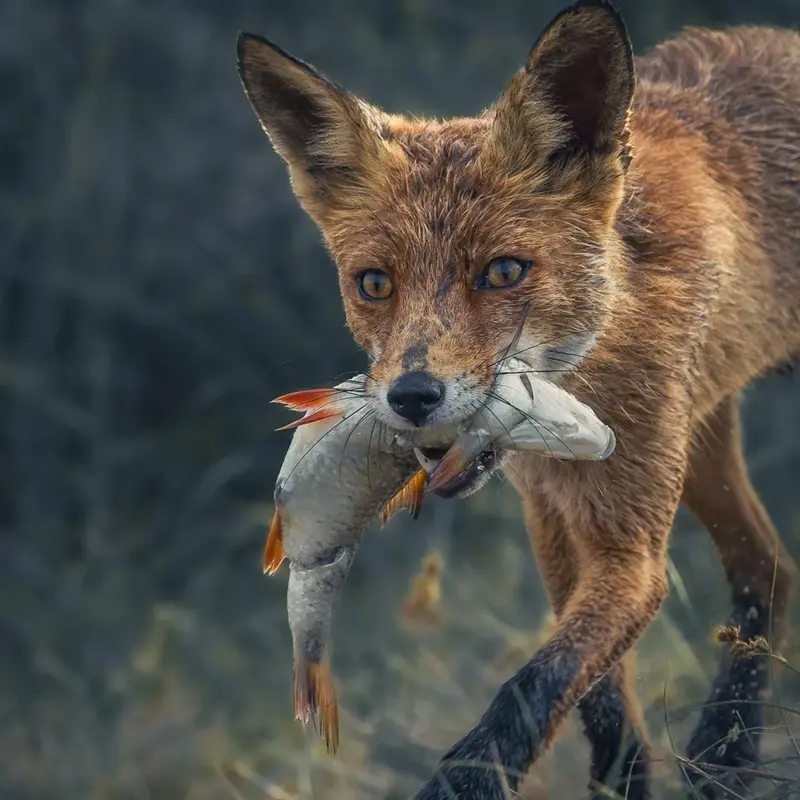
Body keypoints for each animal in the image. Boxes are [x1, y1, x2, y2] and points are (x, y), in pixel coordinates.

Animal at [236, 1, 800, 798]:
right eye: (374, 283)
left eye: (504, 272)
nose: (412, 396)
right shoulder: (555, 521)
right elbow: (599, 704)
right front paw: (624, 782)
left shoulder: (631, 552)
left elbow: (537, 683)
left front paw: (466, 780)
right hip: (705, 441)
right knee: (768, 568)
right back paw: (726, 755)